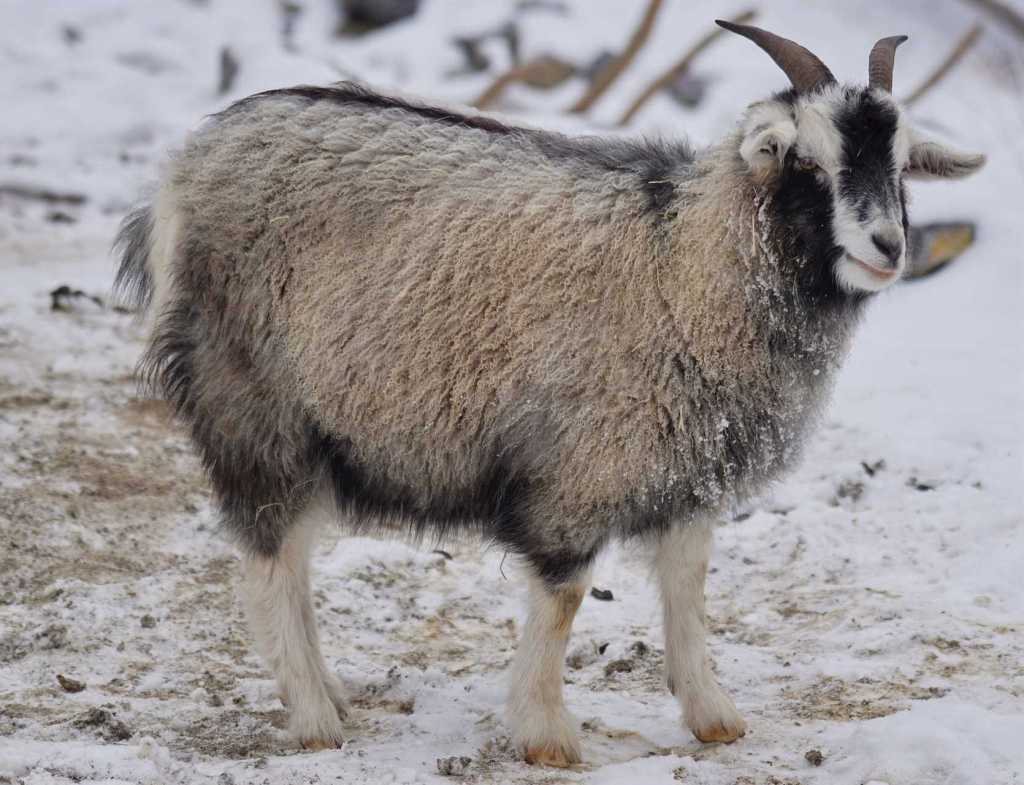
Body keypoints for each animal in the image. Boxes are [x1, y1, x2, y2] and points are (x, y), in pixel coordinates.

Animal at [112, 19, 983, 769]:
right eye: (808, 162)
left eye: (900, 165)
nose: (888, 246)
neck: (684, 260)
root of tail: (183, 169)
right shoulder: (580, 466)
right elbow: (563, 598)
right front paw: (547, 735)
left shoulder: (688, 464)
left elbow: (689, 586)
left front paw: (714, 715)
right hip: (256, 406)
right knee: (270, 560)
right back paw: (316, 718)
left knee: (286, 559)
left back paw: (329, 693)